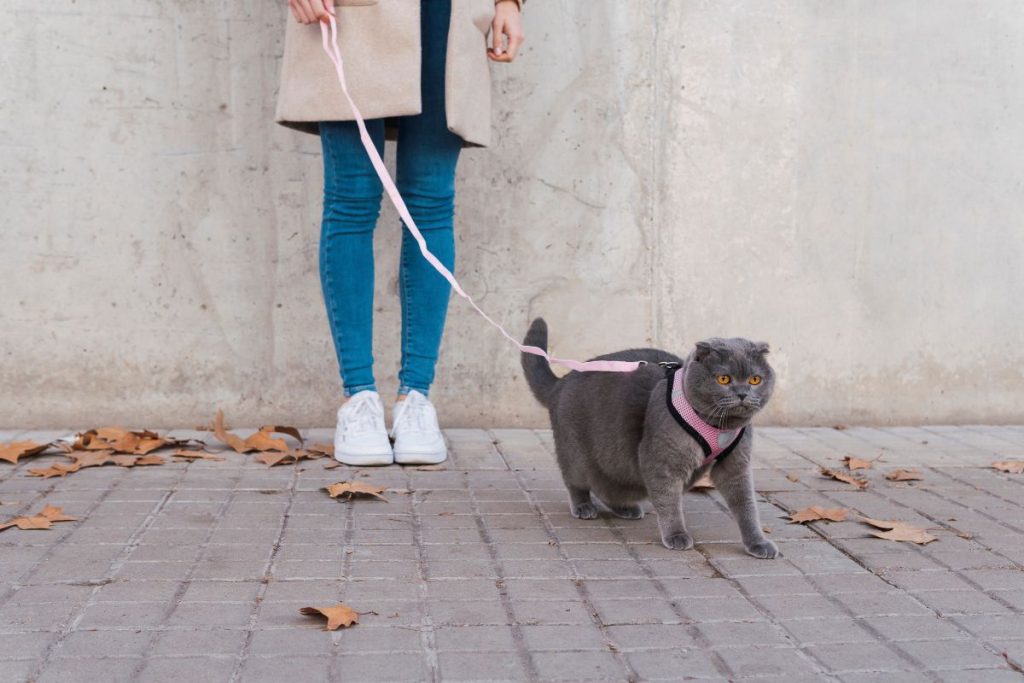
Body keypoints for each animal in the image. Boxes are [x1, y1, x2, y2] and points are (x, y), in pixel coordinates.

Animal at [524, 317, 778, 557]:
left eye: (755, 379)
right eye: (723, 379)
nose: (743, 393)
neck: (718, 426)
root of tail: (561, 382)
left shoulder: (735, 463)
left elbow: (746, 504)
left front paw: (758, 543)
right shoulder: (663, 462)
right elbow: (669, 501)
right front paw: (676, 535)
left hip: (616, 463)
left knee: (607, 486)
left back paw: (626, 509)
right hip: (576, 454)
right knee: (576, 482)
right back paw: (584, 507)